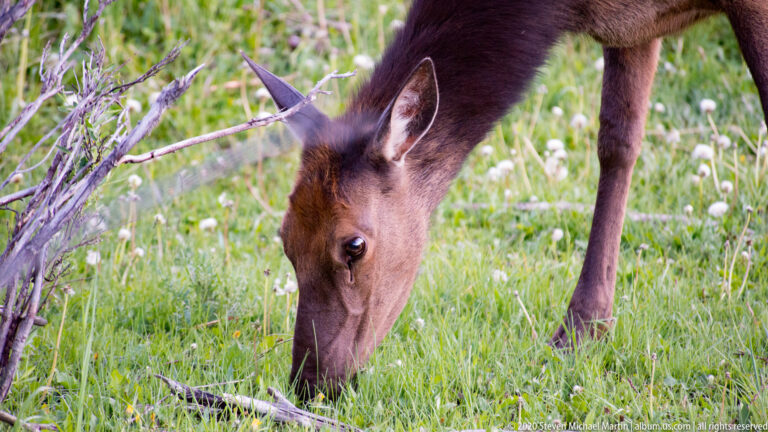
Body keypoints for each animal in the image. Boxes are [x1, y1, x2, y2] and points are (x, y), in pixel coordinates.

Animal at [246, 0, 768, 400]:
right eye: (285, 238)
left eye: (354, 246)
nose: (309, 384)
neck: (565, 10)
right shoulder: (632, 28)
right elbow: (618, 141)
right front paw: (583, 328)